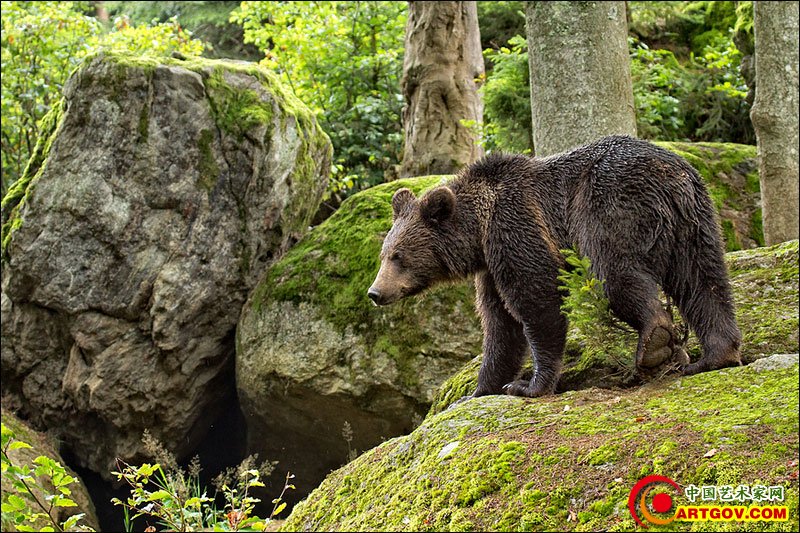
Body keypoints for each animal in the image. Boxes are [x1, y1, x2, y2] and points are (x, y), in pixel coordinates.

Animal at [368, 134, 744, 400]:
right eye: (384, 254)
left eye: (399, 256)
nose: (375, 292)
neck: (479, 231)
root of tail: (671, 174)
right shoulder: (491, 266)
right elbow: (500, 325)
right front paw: (478, 390)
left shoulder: (516, 228)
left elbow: (537, 302)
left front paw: (528, 385)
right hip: (696, 221)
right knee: (703, 281)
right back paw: (715, 355)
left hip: (609, 206)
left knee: (613, 275)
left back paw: (654, 342)